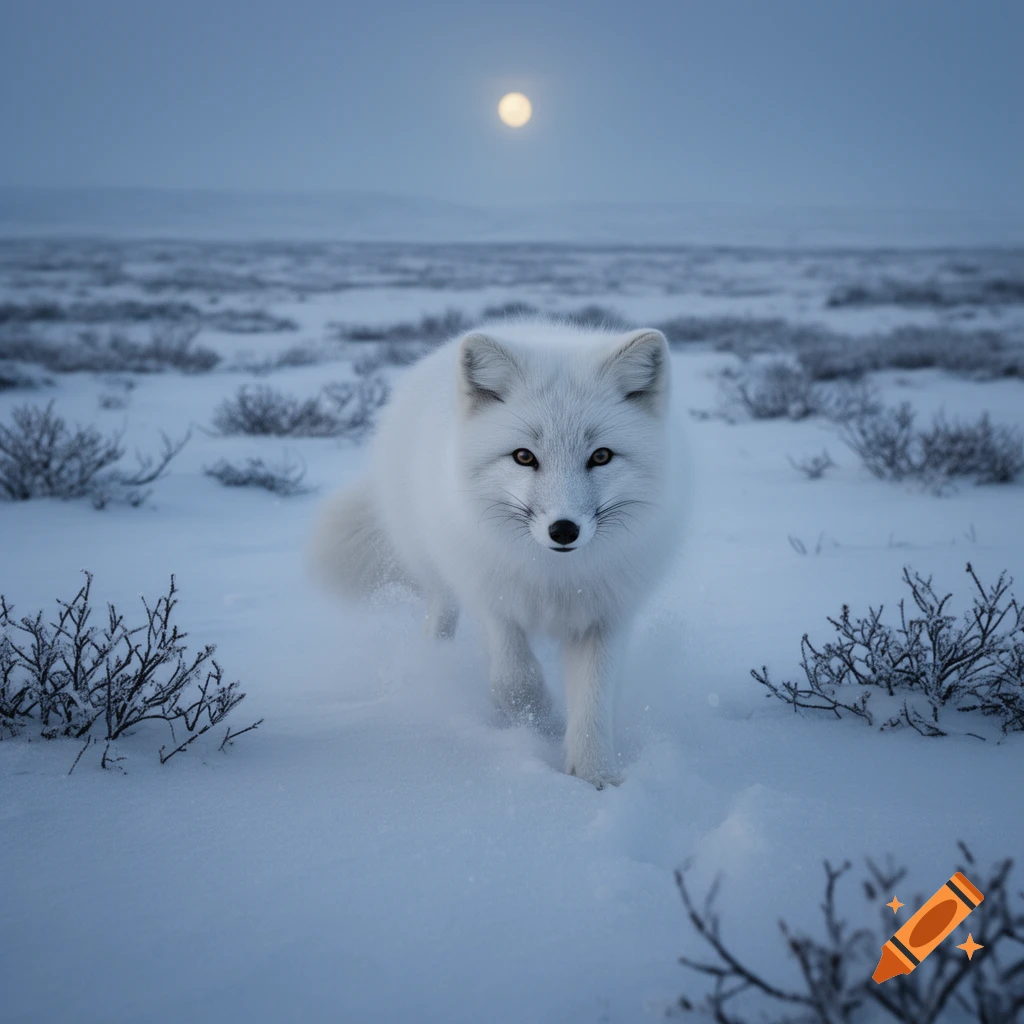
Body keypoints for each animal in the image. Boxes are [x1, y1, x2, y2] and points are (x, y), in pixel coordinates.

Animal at [309, 318, 678, 788]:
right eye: (523, 456)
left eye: (601, 456)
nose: (564, 529)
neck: (554, 578)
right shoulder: (491, 596)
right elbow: (515, 678)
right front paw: (538, 723)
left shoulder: (605, 614)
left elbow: (594, 702)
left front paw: (595, 776)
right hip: (439, 570)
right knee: (440, 611)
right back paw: (436, 662)